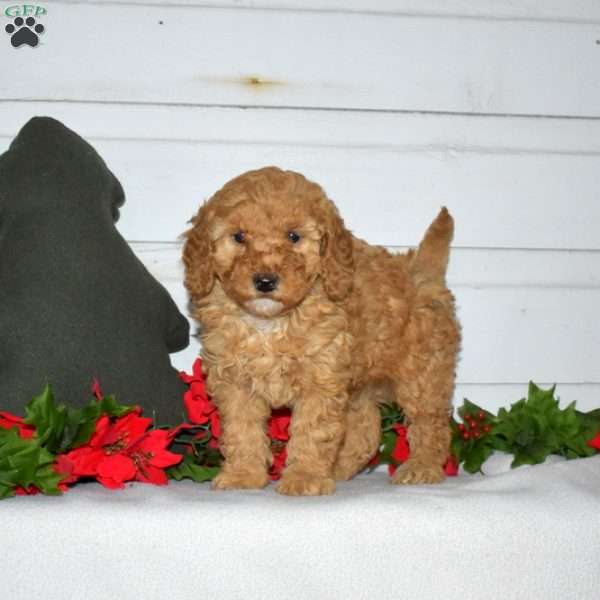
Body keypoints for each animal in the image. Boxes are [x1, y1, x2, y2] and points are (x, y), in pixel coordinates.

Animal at [183, 166, 460, 494]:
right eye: (239, 237)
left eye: (293, 236)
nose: (265, 281)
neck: (271, 323)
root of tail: (420, 271)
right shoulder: (235, 382)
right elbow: (242, 432)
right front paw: (243, 475)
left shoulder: (321, 379)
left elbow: (312, 432)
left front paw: (305, 477)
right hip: (360, 383)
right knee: (365, 430)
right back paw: (339, 470)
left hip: (422, 374)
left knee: (430, 423)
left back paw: (422, 468)